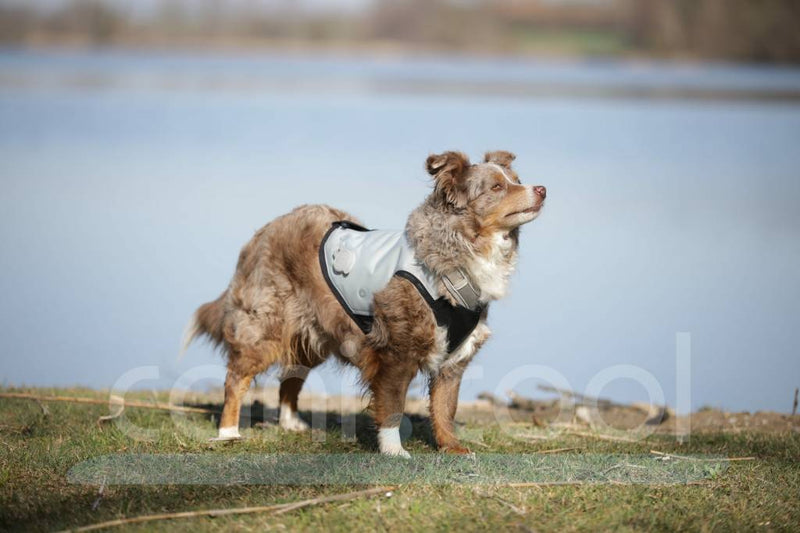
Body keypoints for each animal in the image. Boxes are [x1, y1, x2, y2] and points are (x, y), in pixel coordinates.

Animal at [181, 151, 544, 458]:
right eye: (497, 187)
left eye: (517, 179)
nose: (541, 188)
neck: (455, 251)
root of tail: (264, 231)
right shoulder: (397, 351)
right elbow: (393, 405)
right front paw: (394, 451)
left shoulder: (454, 358)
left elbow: (445, 408)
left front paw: (451, 447)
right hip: (266, 325)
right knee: (236, 377)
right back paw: (228, 432)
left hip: (316, 332)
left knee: (292, 375)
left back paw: (290, 423)